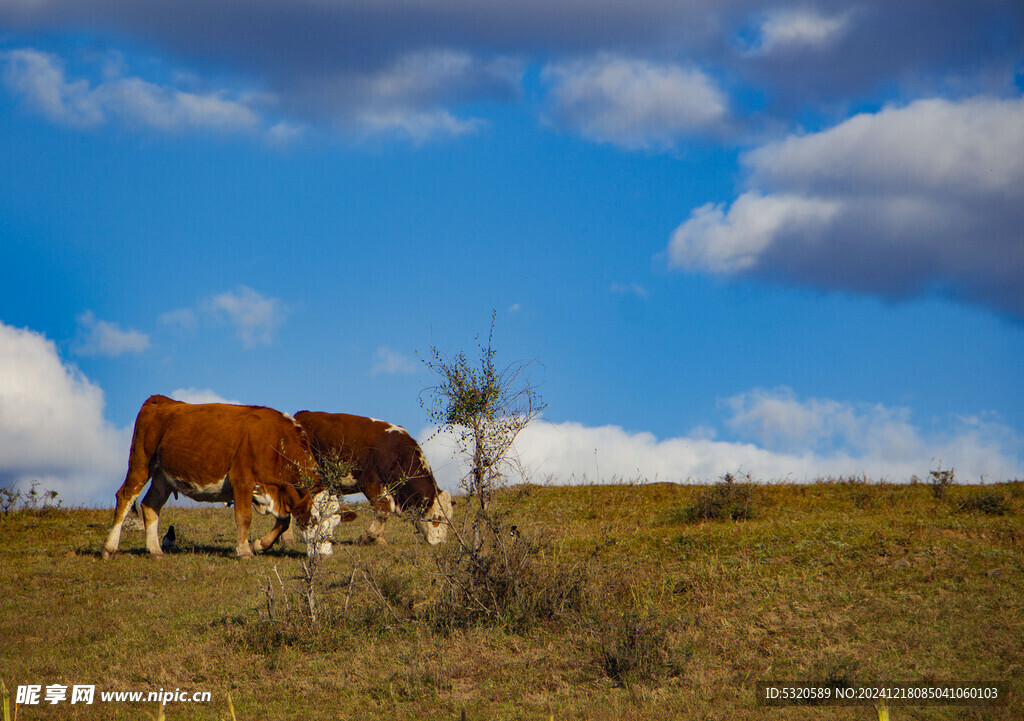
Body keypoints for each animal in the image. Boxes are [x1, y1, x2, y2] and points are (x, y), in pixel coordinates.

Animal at [100, 397, 356, 561]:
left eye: (335, 524)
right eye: (313, 520)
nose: (324, 556)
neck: (275, 442)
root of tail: (160, 400)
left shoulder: (277, 490)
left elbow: (283, 522)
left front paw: (258, 545)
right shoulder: (242, 479)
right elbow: (244, 517)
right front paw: (244, 551)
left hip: (164, 476)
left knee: (150, 505)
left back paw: (155, 551)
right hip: (141, 462)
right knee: (125, 497)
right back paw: (109, 548)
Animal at [288, 407, 448, 544]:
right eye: (436, 518)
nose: (441, 542)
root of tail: (302, 414)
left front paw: (379, 539)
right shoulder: (370, 483)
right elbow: (384, 509)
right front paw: (368, 537)